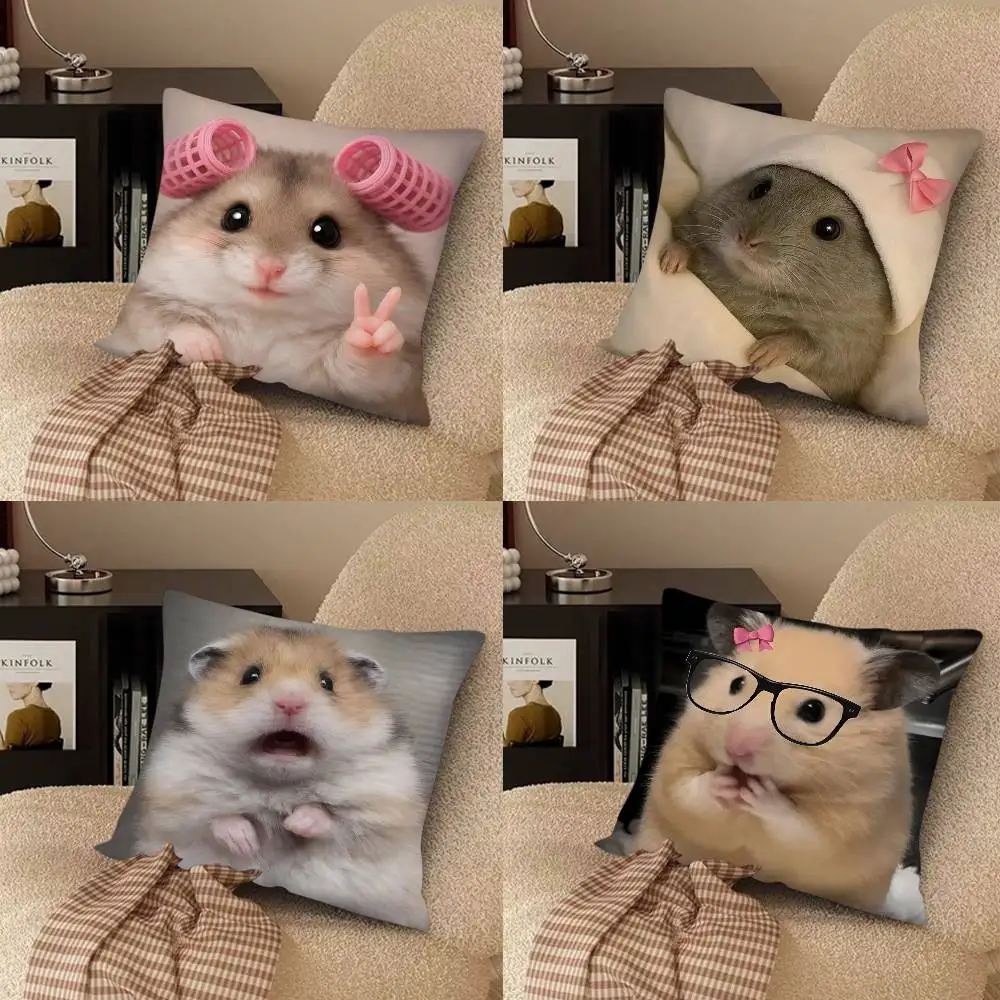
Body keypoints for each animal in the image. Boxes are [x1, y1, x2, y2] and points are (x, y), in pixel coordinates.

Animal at [111, 149, 430, 417]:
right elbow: (170, 321)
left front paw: (373, 330)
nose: (270, 268)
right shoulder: (144, 308)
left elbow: (358, 365)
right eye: (235, 217)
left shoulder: (361, 381)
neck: (260, 319)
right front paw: (209, 352)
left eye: (327, 232)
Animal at [134, 627, 424, 922]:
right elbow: (214, 819)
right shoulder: (175, 805)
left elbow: (332, 818)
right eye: (250, 676)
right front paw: (246, 843)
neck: (279, 784)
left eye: (327, 682)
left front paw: (294, 824)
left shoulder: (381, 814)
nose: (290, 702)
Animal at [633, 602, 940, 913]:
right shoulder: (675, 762)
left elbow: (799, 828)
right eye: (737, 684)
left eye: (813, 710)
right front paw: (724, 783)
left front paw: (760, 794)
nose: (735, 749)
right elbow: (685, 791)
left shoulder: (853, 820)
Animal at [658, 165, 893, 404]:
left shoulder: (848, 347)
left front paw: (769, 349)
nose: (746, 240)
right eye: (760, 189)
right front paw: (677, 254)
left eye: (828, 229)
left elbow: (812, 347)